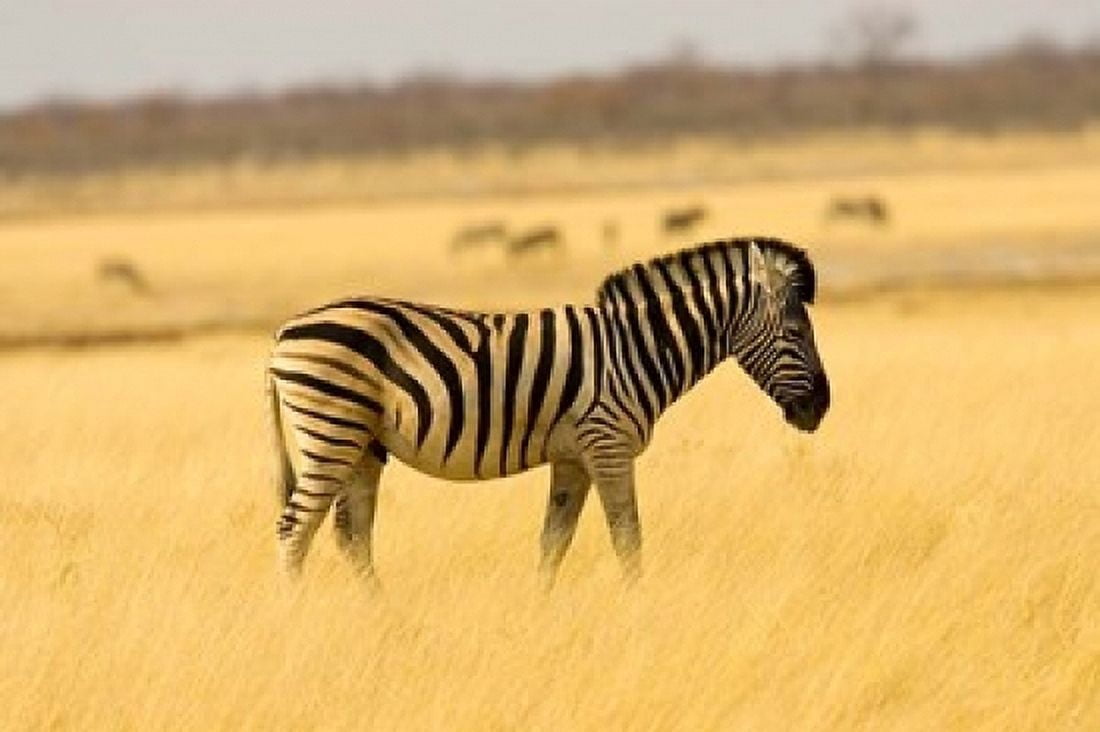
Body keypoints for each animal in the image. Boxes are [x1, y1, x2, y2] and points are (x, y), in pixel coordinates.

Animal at [268, 237, 830, 587]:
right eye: (796, 332)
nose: (821, 408)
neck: (637, 349)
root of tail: (284, 331)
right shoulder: (608, 444)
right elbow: (628, 539)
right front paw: (640, 608)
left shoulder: (573, 457)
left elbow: (553, 543)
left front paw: (541, 614)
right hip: (333, 430)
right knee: (295, 529)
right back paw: (296, 616)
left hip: (363, 444)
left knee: (351, 536)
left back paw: (381, 619)